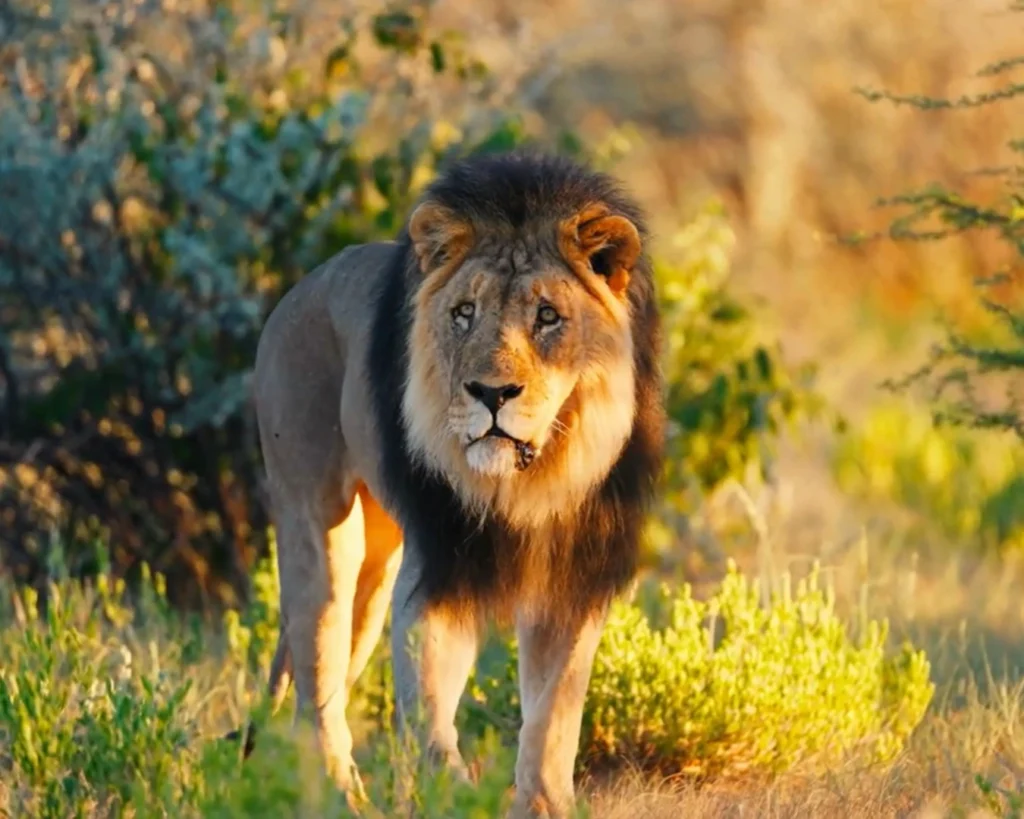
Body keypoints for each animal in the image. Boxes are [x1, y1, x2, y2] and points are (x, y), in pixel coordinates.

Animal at [237, 151, 665, 818]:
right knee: (317, 675)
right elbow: (430, 707)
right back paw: (336, 793)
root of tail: (297, 290)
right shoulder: (440, 569)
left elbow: (553, 715)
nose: (491, 393)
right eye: (465, 314)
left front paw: (543, 802)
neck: (529, 483)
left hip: (377, 569)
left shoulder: (572, 581)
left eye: (547, 316)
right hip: (320, 527)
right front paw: (450, 793)